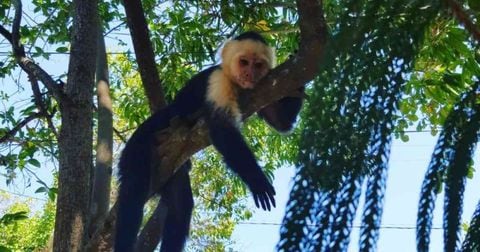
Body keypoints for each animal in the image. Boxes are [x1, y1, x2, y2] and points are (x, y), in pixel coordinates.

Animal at [115, 32, 304, 252]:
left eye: (258, 65)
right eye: (244, 62)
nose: (250, 74)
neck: (236, 83)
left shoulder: (264, 86)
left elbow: (281, 123)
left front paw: (297, 64)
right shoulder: (217, 79)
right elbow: (222, 128)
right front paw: (258, 182)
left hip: (170, 167)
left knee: (180, 204)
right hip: (140, 145)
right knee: (133, 191)